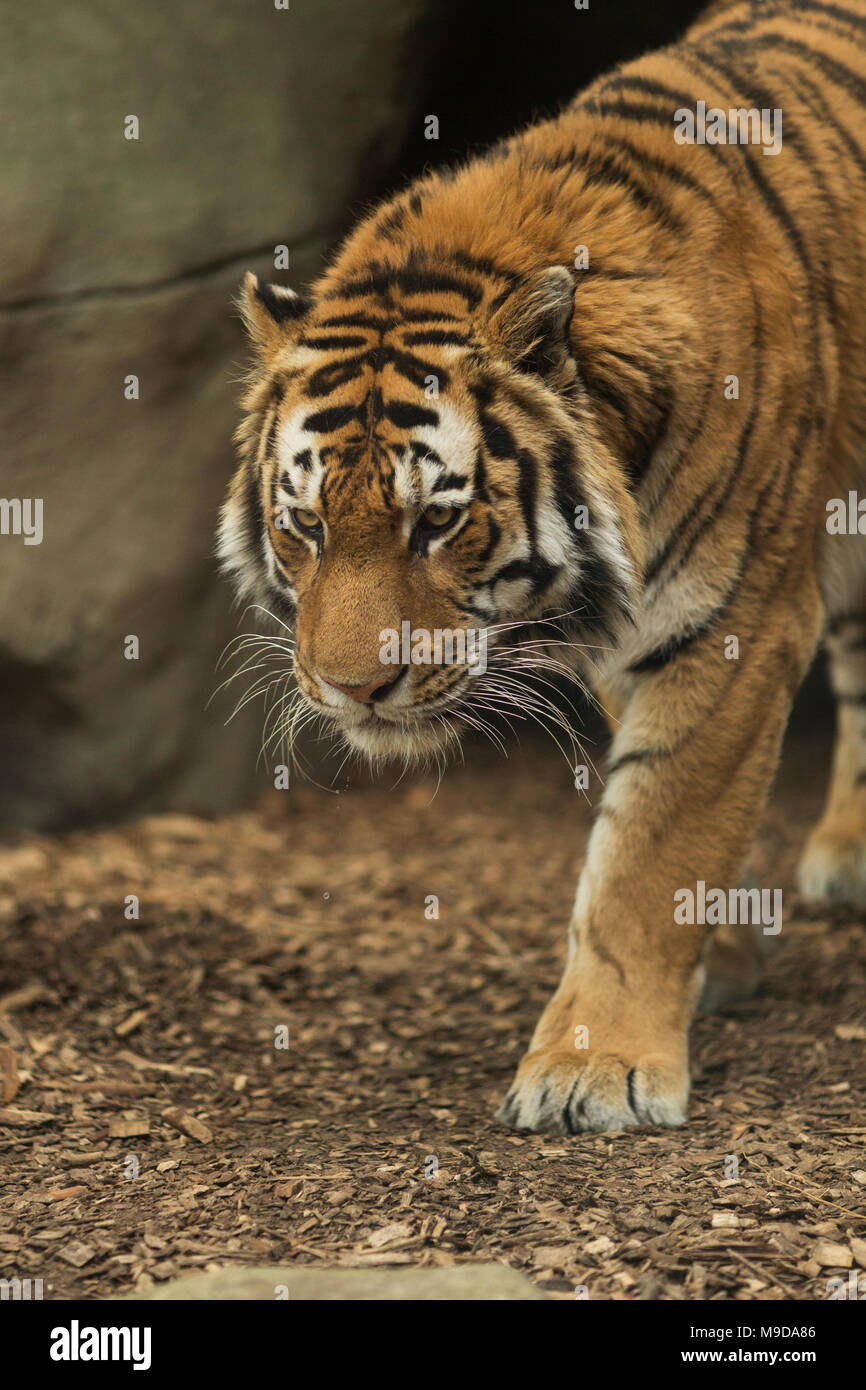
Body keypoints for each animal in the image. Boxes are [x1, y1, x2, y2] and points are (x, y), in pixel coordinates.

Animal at [218, 0, 866, 1133]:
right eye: (304, 524)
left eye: (436, 521)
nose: (352, 689)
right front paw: (720, 953)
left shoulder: (731, 626)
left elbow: (654, 840)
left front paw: (594, 1065)